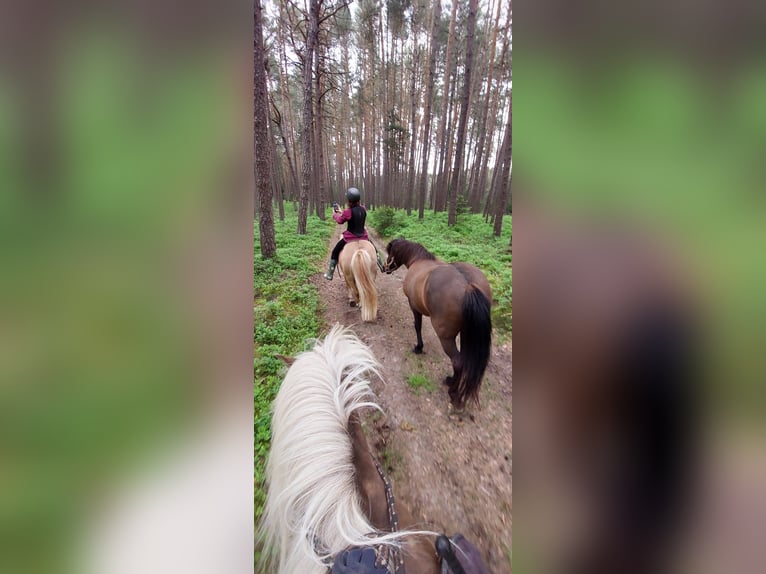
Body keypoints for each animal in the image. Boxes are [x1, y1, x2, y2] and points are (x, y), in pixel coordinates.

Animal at [388, 238, 496, 410]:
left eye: (390, 252)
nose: (385, 267)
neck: (418, 260)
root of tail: (468, 286)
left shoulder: (414, 306)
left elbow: (417, 326)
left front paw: (419, 347)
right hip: (465, 335)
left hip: (446, 338)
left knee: (458, 362)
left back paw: (453, 391)